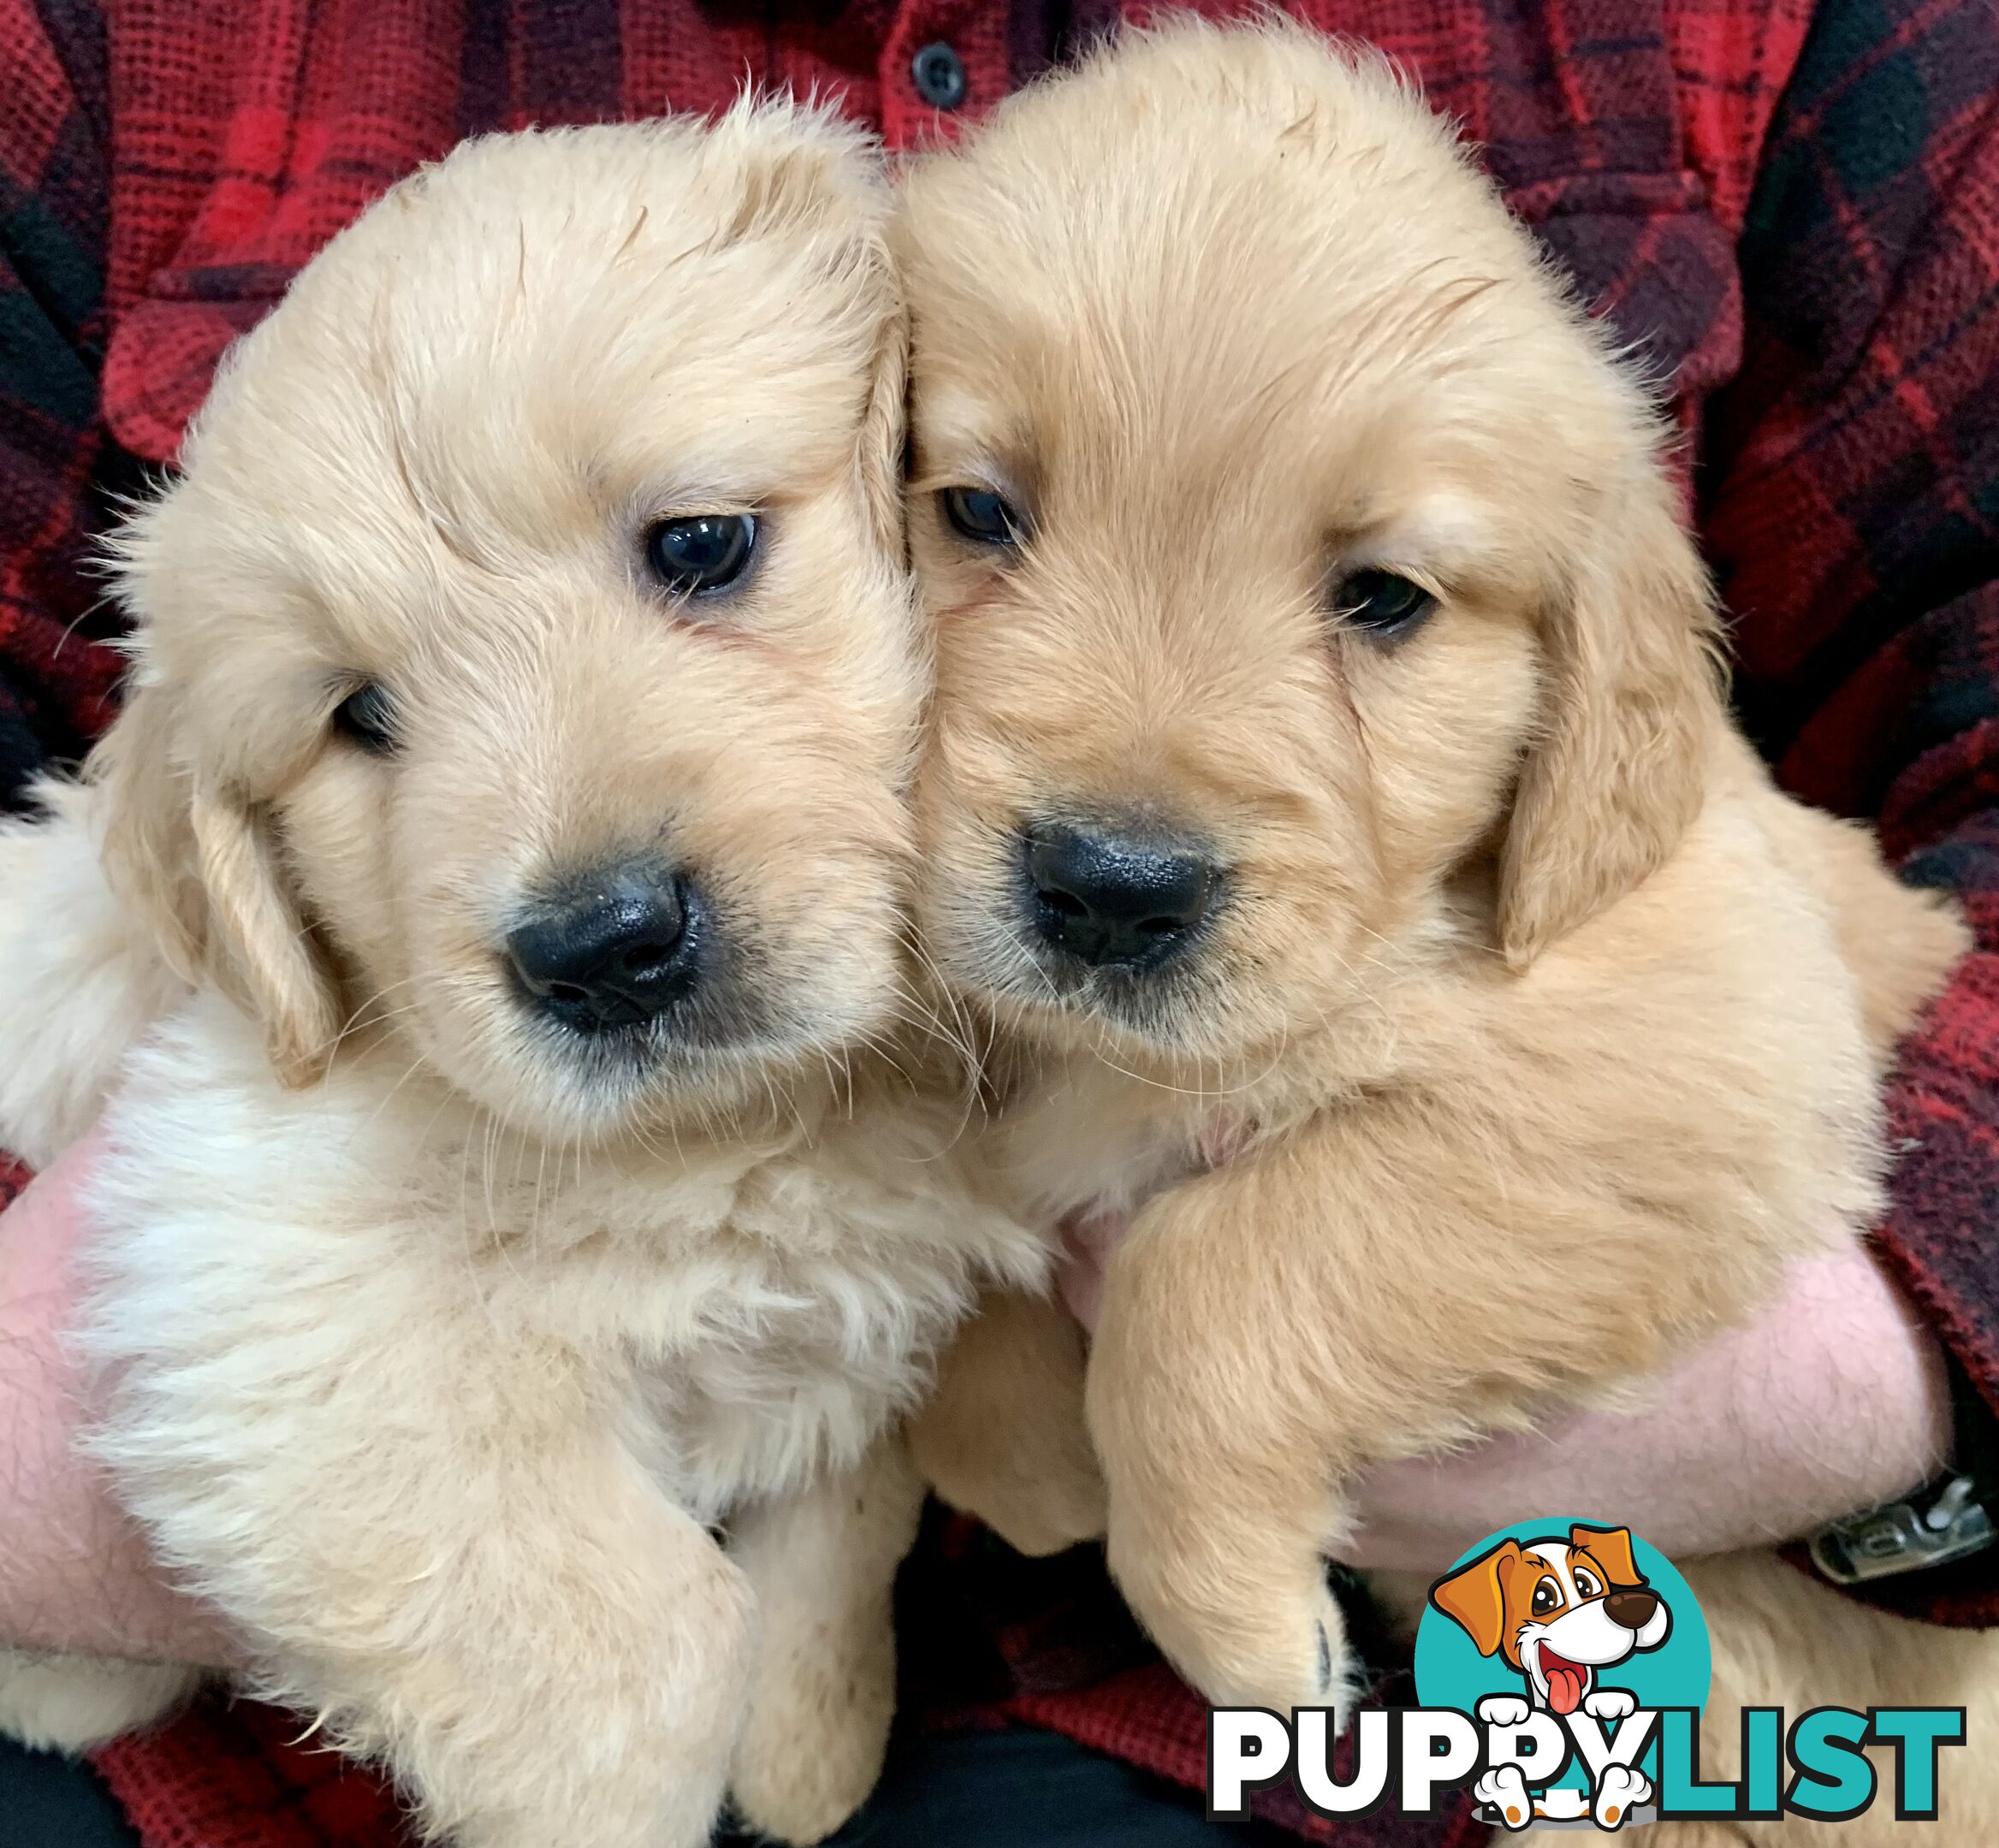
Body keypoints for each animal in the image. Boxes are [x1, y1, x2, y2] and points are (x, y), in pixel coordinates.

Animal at [0, 104, 1039, 1845]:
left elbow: (837, 1520)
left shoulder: (861, 1310)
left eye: (702, 544)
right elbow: (646, 1648)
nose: (603, 950)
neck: (750, 1127)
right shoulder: (248, 1265)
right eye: (358, 715)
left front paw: (811, 1741)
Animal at [903, 21, 1999, 1838]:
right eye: (977, 513)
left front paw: (1233, 1618)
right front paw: (1037, 1450)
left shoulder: (1698, 1077)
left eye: (1384, 601)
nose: (1110, 890)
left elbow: (1212, 1272)